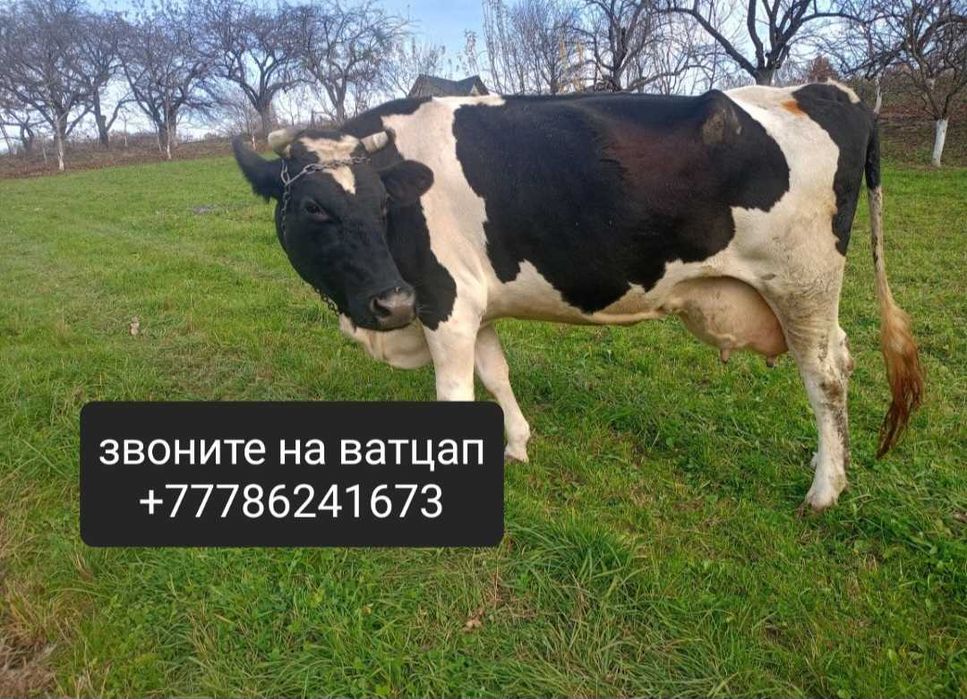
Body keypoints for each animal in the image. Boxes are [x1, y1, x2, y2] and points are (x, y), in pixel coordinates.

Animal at [232, 82, 923, 512]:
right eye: (313, 207)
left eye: (382, 203)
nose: (392, 304)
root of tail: (824, 91)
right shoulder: (473, 302)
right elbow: (497, 372)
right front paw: (516, 443)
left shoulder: (443, 300)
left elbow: (454, 393)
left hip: (803, 285)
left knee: (825, 375)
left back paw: (824, 491)